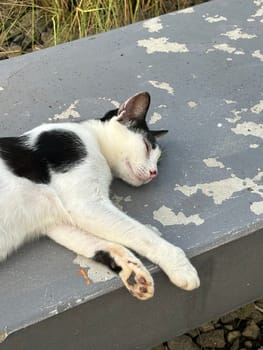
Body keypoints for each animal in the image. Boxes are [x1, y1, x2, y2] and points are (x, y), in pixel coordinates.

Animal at [0, 91, 199, 300]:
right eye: (146, 147)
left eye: (158, 161)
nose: (155, 173)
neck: (93, 139)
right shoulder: (86, 204)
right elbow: (141, 233)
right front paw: (180, 265)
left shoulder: (59, 223)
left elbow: (102, 244)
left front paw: (133, 273)